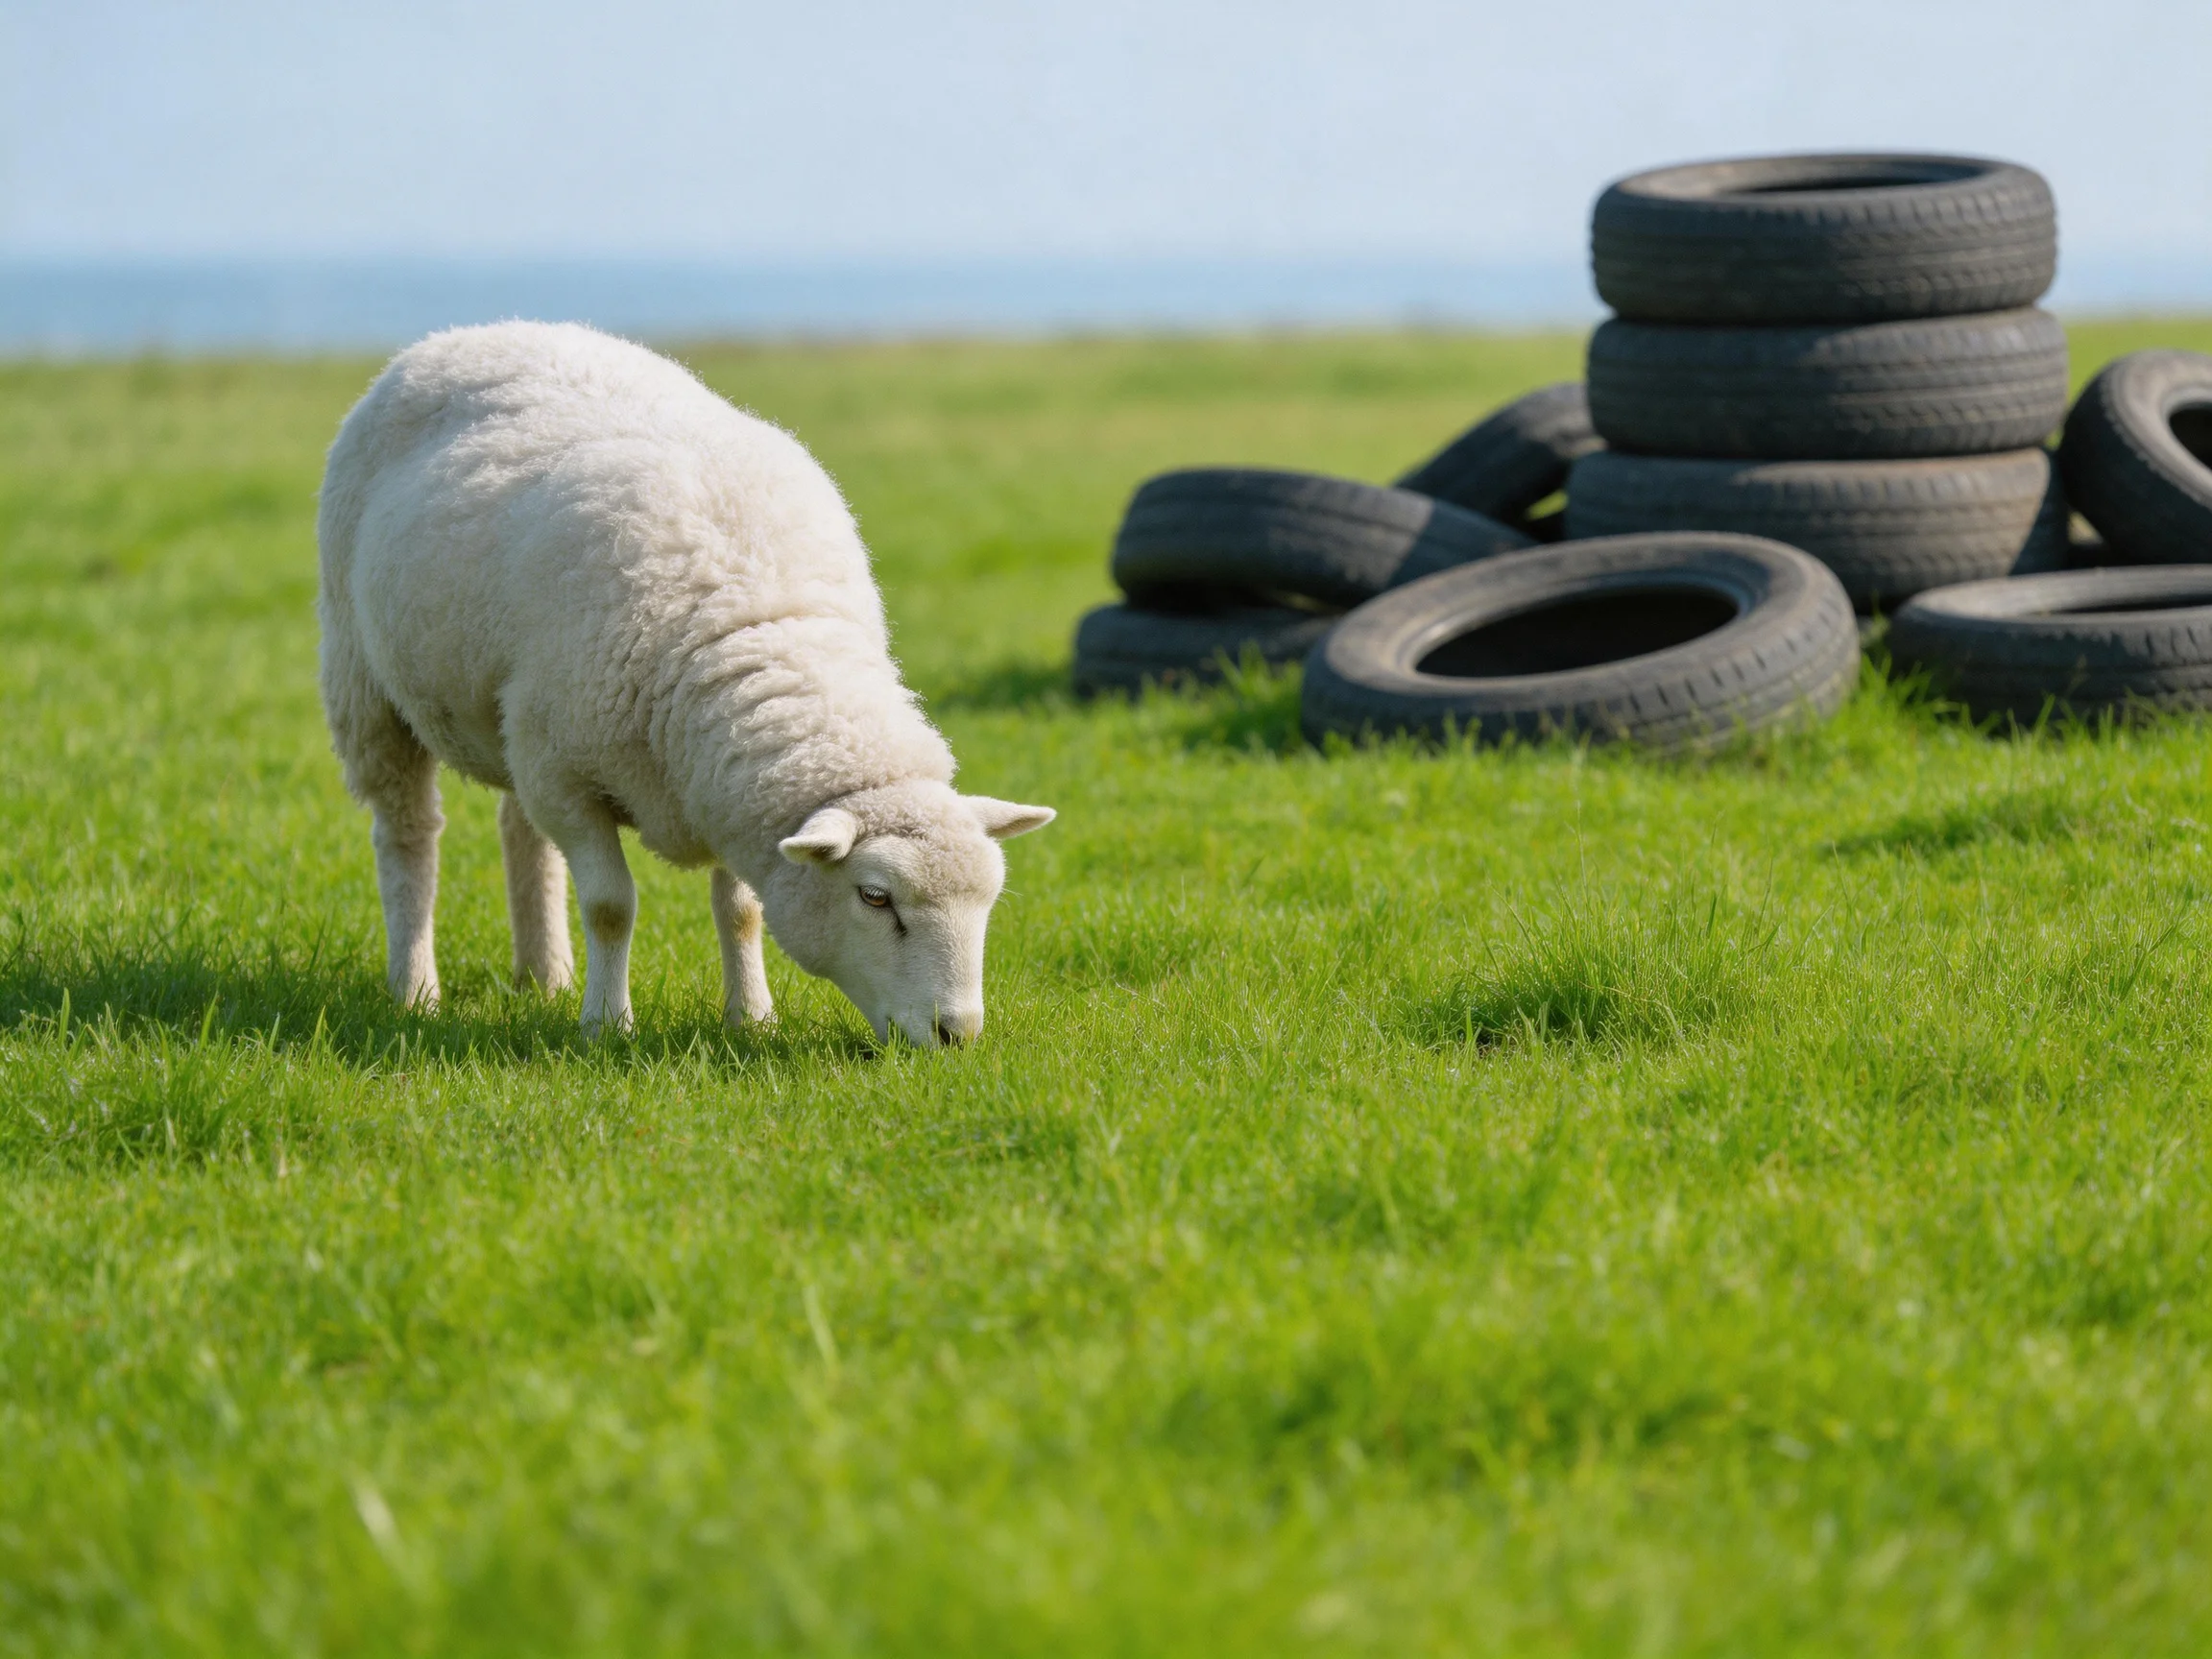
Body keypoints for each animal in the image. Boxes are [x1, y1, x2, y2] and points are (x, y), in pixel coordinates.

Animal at [316, 321, 1054, 1047]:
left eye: (988, 900)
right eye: (875, 897)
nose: (958, 1034)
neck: (758, 620)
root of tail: (469, 332)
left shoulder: (722, 782)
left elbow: (741, 909)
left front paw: (751, 1016)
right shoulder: (570, 779)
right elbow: (611, 907)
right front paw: (607, 1026)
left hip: (514, 719)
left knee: (520, 832)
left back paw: (544, 976)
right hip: (367, 683)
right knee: (409, 834)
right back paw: (416, 989)